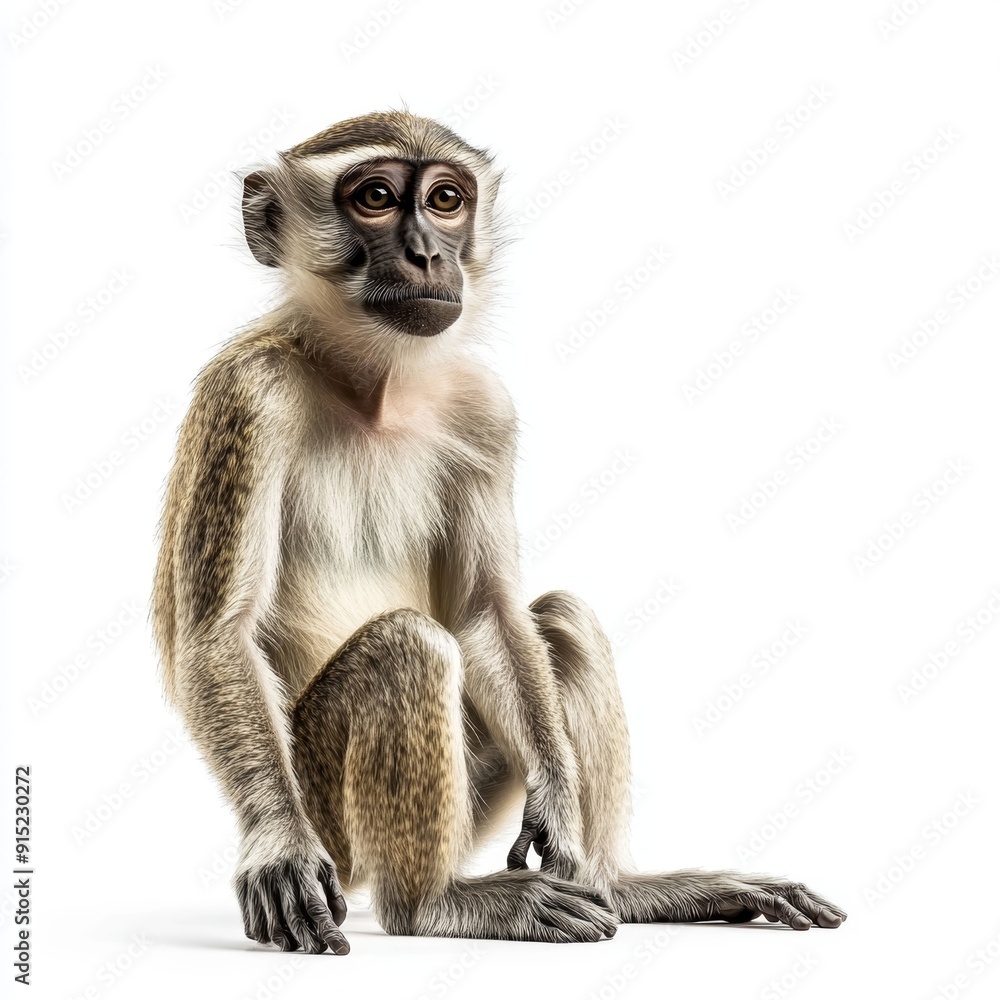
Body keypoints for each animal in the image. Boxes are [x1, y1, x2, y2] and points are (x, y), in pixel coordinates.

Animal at [152, 110, 847, 954]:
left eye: (446, 199)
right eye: (375, 197)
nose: (429, 253)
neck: (374, 390)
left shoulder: (484, 408)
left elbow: (490, 609)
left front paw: (556, 805)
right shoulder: (248, 397)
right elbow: (219, 633)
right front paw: (278, 842)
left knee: (558, 619)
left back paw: (625, 887)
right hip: (335, 821)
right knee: (409, 645)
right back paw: (434, 904)